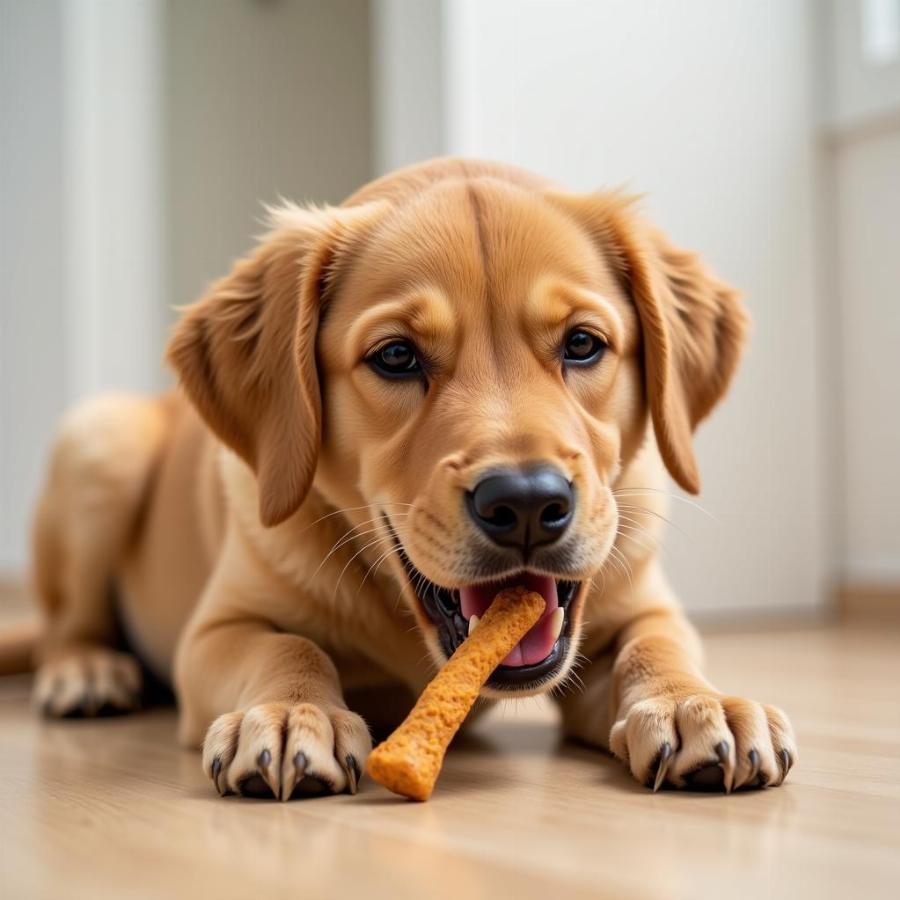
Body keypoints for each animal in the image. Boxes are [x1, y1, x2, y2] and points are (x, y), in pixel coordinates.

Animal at [21, 158, 800, 800]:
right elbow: (286, 644)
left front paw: (696, 702)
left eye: (583, 344)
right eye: (396, 356)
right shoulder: (215, 630)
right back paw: (87, 673)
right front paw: (290, 713)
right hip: (100, 441)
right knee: (66, 621)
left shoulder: (641, 605)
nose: (526, 503)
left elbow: (656, 646)